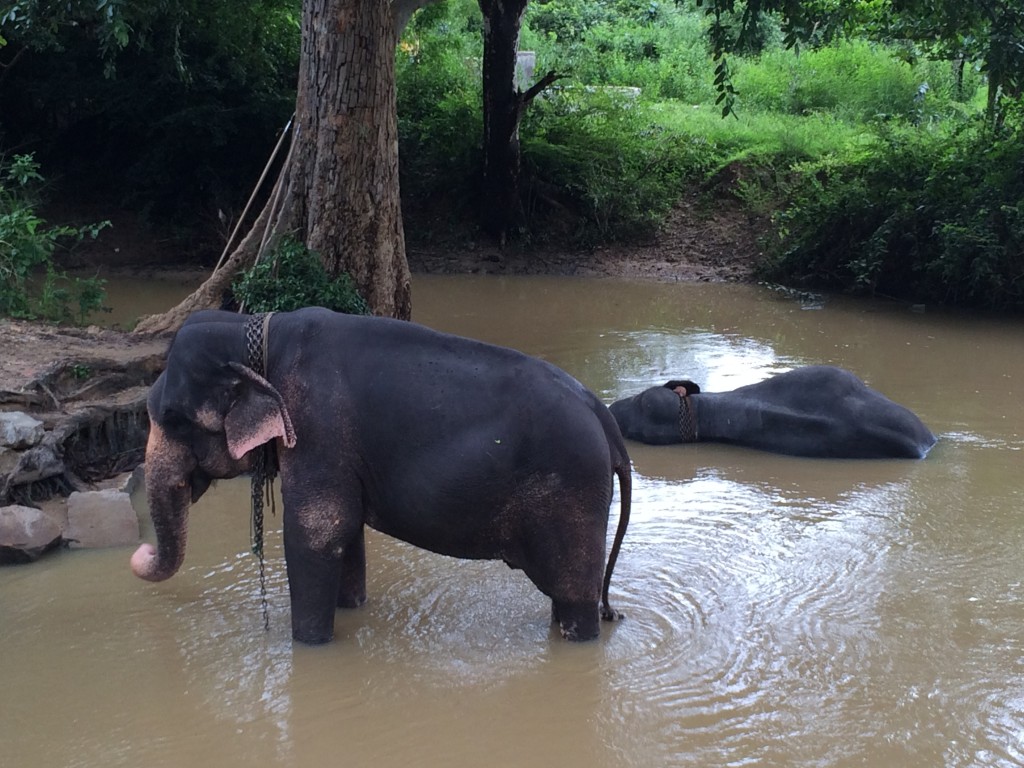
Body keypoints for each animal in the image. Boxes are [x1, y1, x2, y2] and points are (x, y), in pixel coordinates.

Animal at [132, 309, 630, 647]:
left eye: (172, 418)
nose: (140, 551)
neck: (254, 331)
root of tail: (604, 419)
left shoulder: (316, 431)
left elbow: (314, 533)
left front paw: (308, 646)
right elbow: (345, 532)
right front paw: (351, 611)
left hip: (572, 494)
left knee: (574, 599)